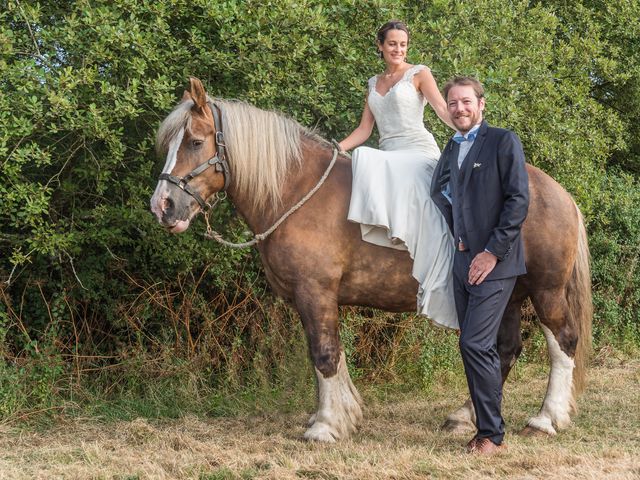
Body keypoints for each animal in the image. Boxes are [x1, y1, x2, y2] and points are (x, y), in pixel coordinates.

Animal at [150, 78, 592, 442]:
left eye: (194, 142)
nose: (162, 206)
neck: (296, 189)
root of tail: (559, 193)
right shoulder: (315, 300)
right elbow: (330, 354)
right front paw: (340, 415)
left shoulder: (315, 292)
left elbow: (324, 354)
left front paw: (326, 426)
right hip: (507, 294)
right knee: (503, 350)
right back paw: (466, 416)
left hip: (545, 290)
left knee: (562, 342)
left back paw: (546, 418)